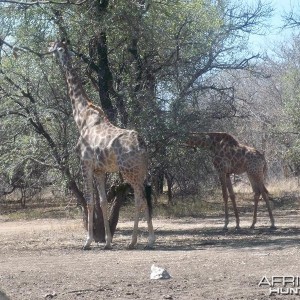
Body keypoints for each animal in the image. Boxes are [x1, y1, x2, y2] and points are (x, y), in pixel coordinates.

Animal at [49, 40, 156, 251]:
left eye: (58, 48)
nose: (49, 49)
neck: (81, 117)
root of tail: (142, 144)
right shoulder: (100, 170)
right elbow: (104, 202)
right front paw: (107, 241)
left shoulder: (86, 163)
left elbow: (90, 201)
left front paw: (88, 241)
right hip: (141, 170)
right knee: (145, 197)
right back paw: (146, 239)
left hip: (129, 171)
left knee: (139, 198)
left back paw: (136, 241)